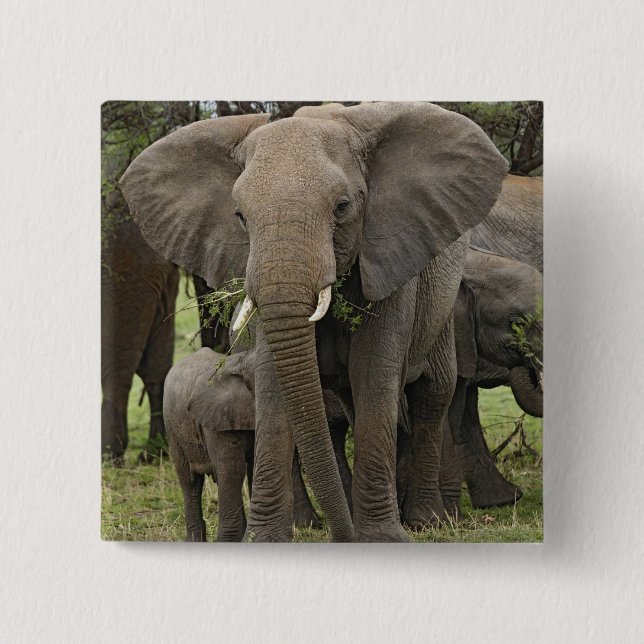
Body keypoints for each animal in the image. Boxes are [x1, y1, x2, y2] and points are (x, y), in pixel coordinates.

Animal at [164, 347, 351, 541]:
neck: (241, 362)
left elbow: (255, 466)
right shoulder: (216, 419)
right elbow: (232, 468)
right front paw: (230, 540)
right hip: (172, 426)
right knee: (190, 481)